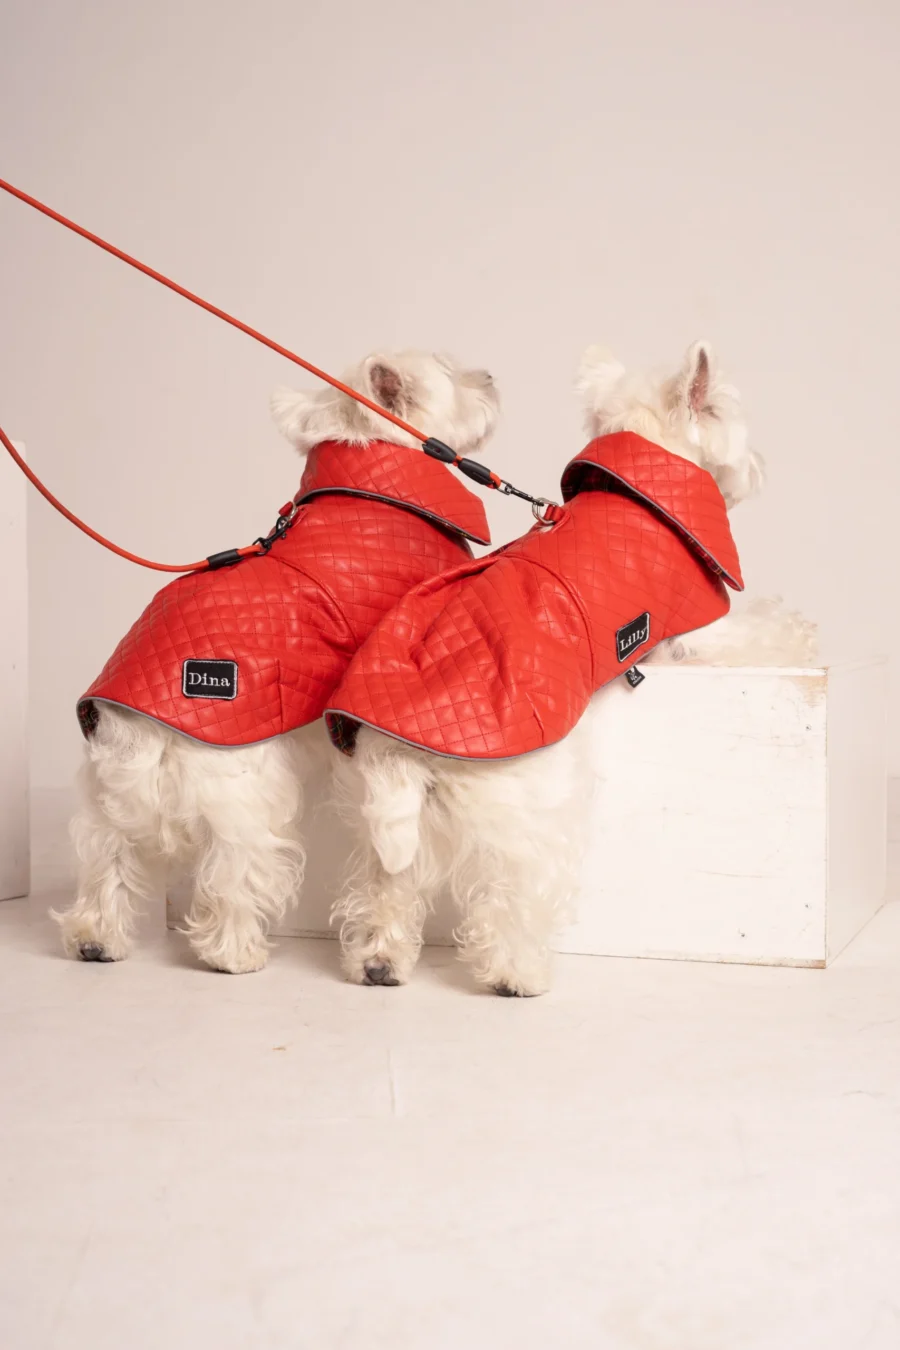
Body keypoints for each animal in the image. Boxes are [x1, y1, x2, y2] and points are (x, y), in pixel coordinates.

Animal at [54, 351, 499, 972]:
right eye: (448, 368)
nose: (492, 377)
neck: (374, 485)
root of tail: (143, 727)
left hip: (108, 799)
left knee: (107, 864)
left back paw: (95, 939)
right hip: (242, 795)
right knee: (233, 874)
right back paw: (235, 952)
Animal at [330, 337, 814, 993]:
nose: (761, 463)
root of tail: (397, 745)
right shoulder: (700, 630)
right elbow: (769, 625)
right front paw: (807, 635)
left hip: (377, 821)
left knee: (384, 887)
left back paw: (378, 962)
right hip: (526, 808)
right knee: (510, 896)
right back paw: (516, 974)